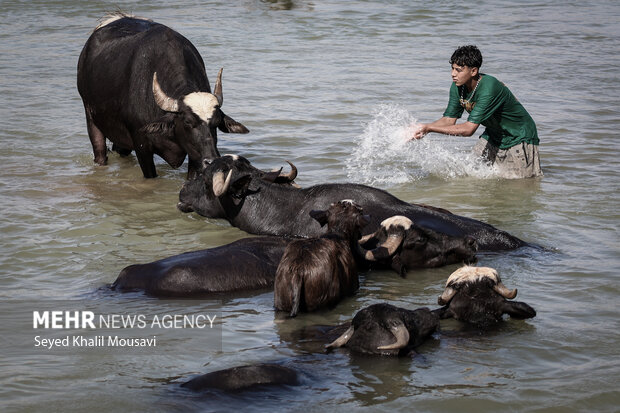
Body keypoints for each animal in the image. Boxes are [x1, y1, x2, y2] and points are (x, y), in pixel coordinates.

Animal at [78, 12, 249, 177]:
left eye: (216, 122)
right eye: (187, 122)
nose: (211, 161)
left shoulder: (194, 156)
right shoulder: (142, 146)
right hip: (90, 116)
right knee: (100, 153)